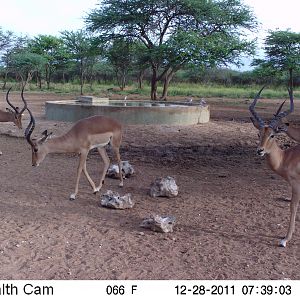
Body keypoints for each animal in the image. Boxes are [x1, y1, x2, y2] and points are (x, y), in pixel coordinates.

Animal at [248, 86, 300, 246]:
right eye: (259, 134)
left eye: (272, 135)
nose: (260, 150)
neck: (287, 157)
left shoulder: (296, 185)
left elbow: (292, 207)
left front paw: (285, 239)